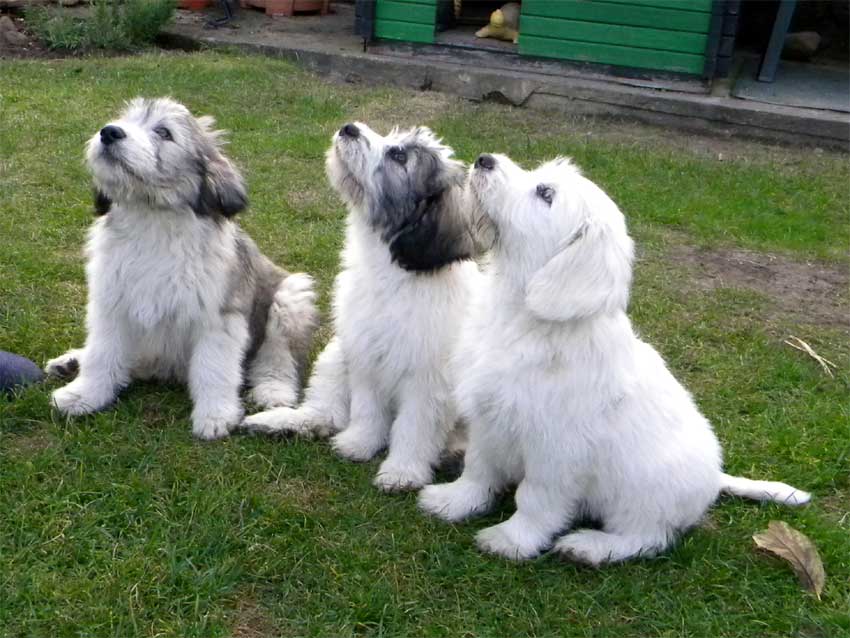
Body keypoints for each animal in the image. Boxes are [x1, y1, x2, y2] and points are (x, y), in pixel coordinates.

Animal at [45, 97, 317, 440]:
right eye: (125, 120)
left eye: (164, 132)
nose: (109, 132)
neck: (152, 218)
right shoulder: (112, 305)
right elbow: (102, 355)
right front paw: (83, 395)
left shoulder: (218, 318)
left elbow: (213, 369)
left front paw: (215, 415)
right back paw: (71, 362)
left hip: (290, 298)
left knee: (278, 356)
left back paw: (273, 391)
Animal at [243, 122, 487, 491]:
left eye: (399, 155)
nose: (350, 128)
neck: (391, 275)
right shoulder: (365, 357)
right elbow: (366, 410)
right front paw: (358, 444)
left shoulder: (427, 379)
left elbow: (413, 428)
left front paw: (401, 472)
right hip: (333, 357)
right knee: (324, 414)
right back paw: (278, 421)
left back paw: (452, 454)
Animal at [418, 153, 811, 565]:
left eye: (545, 193)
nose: (485, 160)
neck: (527, 321)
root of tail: (714, 479)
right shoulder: (489, 419)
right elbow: (479, 470)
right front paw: (455, 501)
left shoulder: (555, 450)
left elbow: (536, 500)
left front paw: (514, 539)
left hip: (643, 497)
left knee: (648, 538)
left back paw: (590, 547)